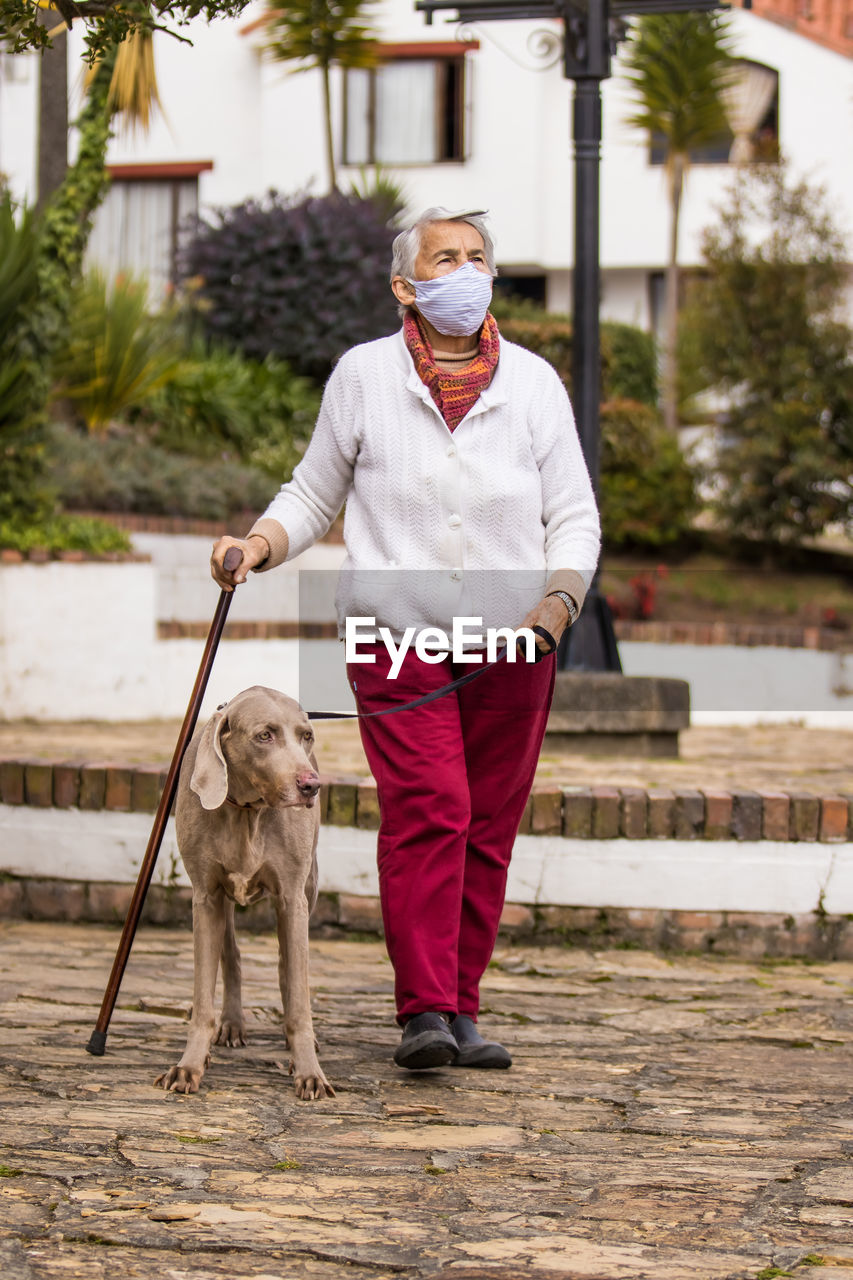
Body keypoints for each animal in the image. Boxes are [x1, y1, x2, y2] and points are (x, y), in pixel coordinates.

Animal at [153, 691, 333, 1100]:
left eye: (307, 735)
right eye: (264, 735)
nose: (311, 785)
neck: (247, 811)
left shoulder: (292, 898)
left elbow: (297, 992)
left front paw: (309, 1070)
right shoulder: (205, 896)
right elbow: (203, 997)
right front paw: (189, 1066)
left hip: (309, 886)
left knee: (286, 965)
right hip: (223, 901)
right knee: (231, 955)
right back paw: (232, 1024)